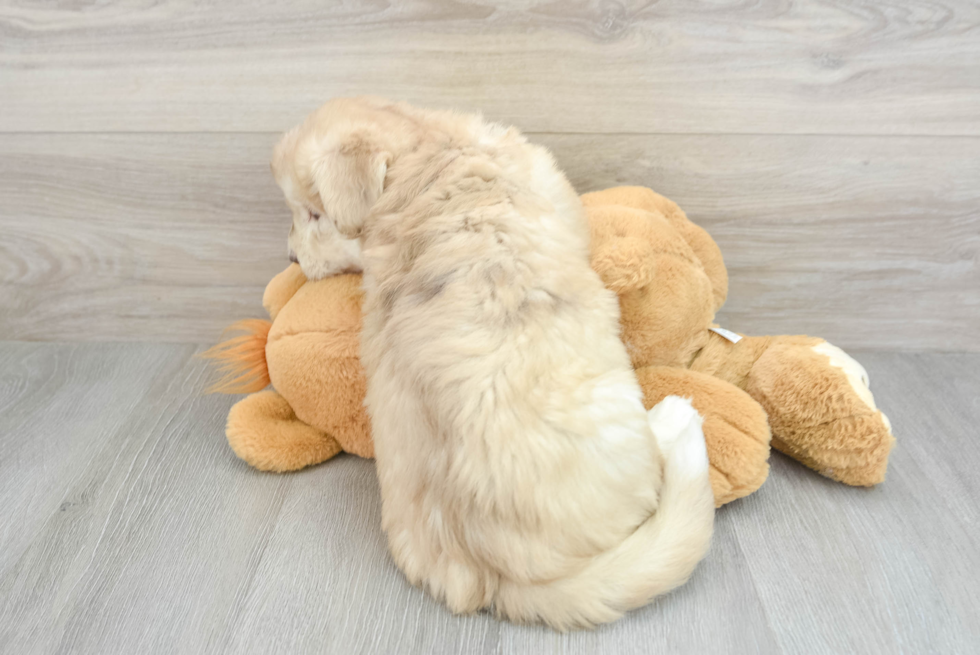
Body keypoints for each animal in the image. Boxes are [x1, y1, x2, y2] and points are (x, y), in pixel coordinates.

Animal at [272, 98, 716, 632]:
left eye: (314, 213)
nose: (291, 258)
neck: (429, 154)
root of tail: (500, 573)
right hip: (616, 413)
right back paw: (674, 417)